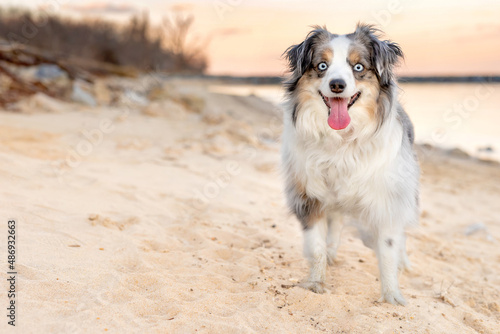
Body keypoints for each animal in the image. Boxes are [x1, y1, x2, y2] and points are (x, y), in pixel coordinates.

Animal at [282, 23, 418, 306]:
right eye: (322, 65)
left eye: (358, 67)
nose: (337, 85)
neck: (342, 140)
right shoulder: (309, 195)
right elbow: (316, 246)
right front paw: (316, 283)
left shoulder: (387, 199)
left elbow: (388, 249)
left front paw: (392, 295)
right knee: (336, 219)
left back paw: (404, 262)